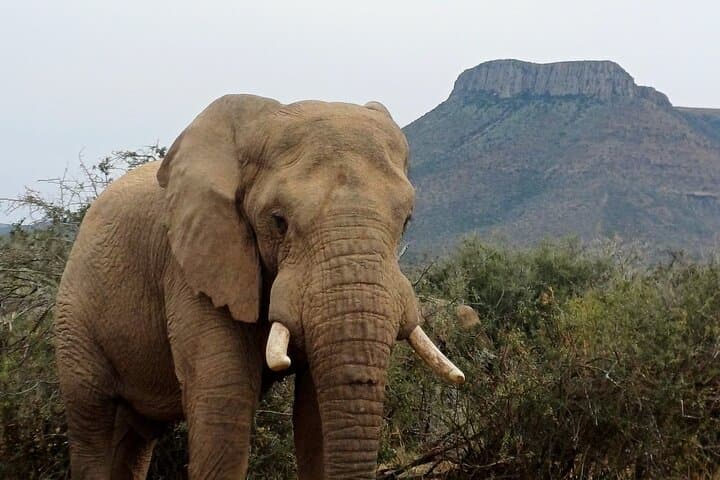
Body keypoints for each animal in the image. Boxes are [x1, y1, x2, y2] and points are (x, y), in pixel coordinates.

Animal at [54, 94, 465, 480]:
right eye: (278, 221)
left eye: (407, 221)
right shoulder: (195, 264)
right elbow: (224, 399)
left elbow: (315, 412)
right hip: (75, 314)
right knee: (91, 423)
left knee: (136, 437)